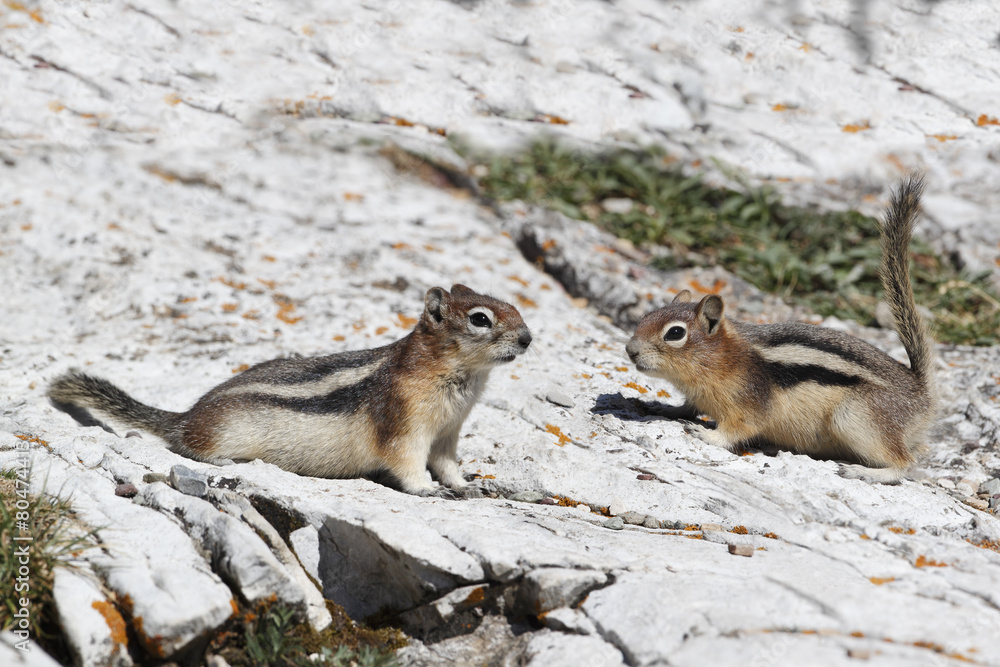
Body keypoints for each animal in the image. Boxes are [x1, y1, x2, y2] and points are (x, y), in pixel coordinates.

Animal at [48, 284, 532, 498]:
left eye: (515, 305)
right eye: (480, 319)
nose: (528, 338)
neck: (458, 378)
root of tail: (186, 415)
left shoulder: (448, 433)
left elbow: (448, 464)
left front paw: (467, 485)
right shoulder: (404, 424)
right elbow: (408, 464)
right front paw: (428, 490)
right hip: (221, 434)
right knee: (189, 447)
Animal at [625, 176, 937, 483]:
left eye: (675, 333)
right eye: (646, 317)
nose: (630, 350)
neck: (722, 359)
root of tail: (920, 391)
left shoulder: (750, 404)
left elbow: (738, 429)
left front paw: (706, 434)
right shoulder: (698, 395)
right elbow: (687, 407)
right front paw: (664, 407)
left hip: (856, 419)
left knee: (905, 462)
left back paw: (865, 471)